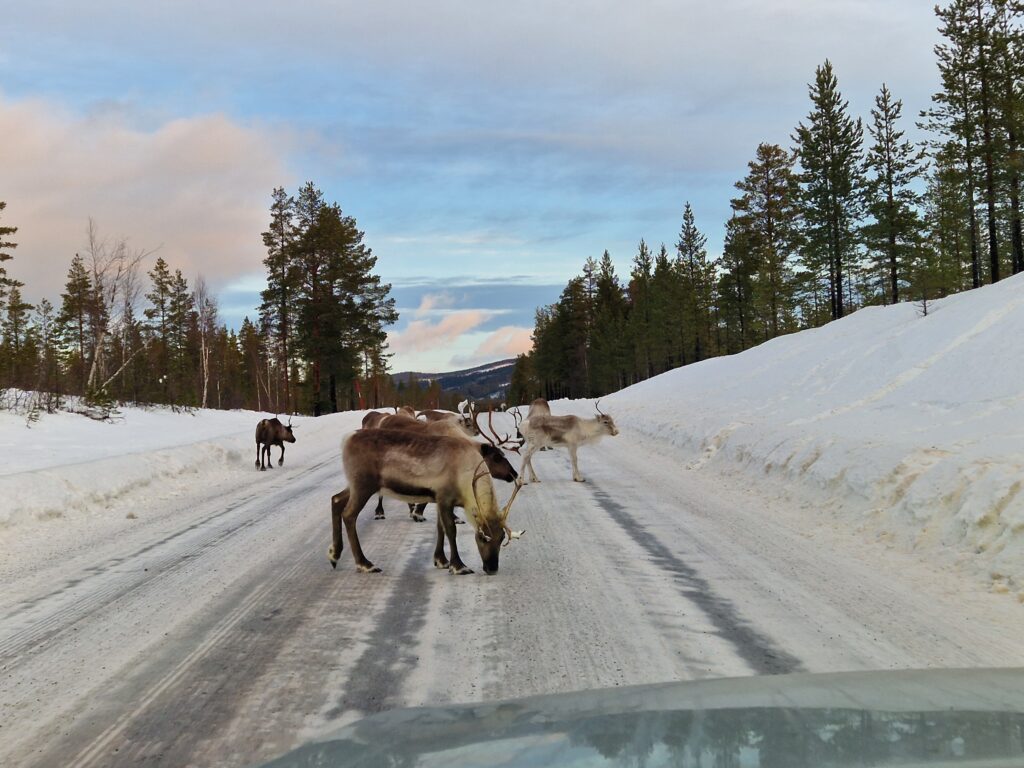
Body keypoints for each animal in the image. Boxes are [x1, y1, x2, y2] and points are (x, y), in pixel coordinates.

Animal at [328, 430, 524, 575]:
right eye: (482, 537)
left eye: (502, 538)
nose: (492, 568)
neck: (466, 475)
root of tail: (347, 439)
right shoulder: (444, 497)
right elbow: (450, 530)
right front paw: (458, 566)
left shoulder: (438, 499)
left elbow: (440, 528)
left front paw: (441, 560)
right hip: (363, 485)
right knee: (349, 514)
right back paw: (365, 564)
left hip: (355, 486)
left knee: (336, 499)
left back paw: (334, 555)